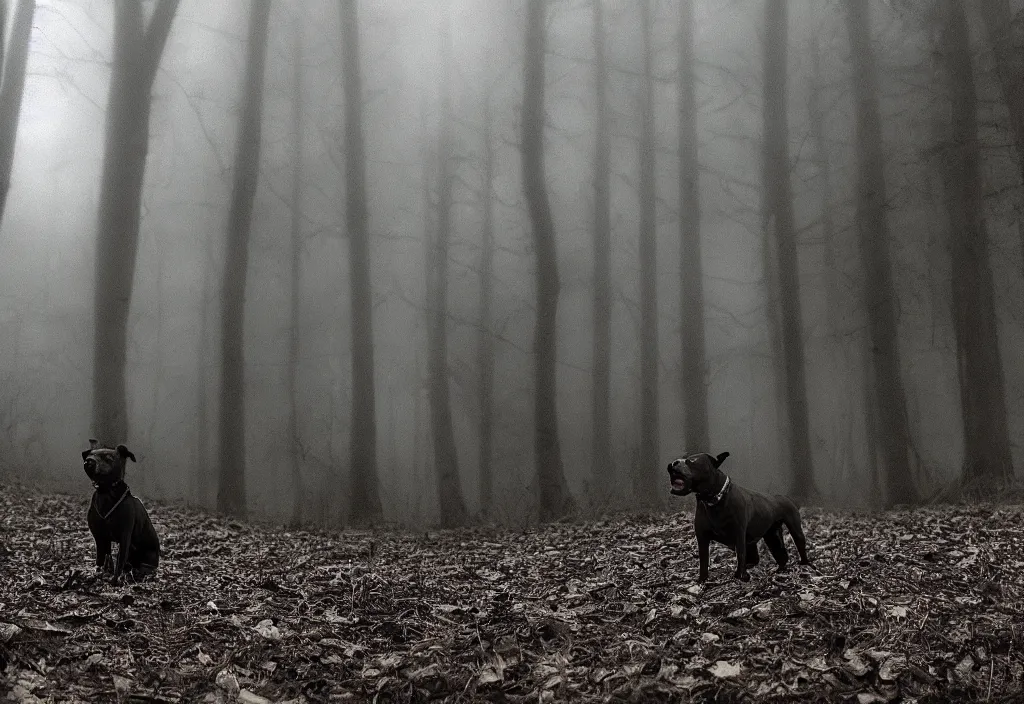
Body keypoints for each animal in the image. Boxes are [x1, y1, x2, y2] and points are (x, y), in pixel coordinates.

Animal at [81, 440, 158, 581]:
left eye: (108, 458)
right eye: (89, 455)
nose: (88, 461)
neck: (105, 492)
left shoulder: (124, 536)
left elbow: (119, 561)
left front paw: (115, 580)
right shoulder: (100, 536)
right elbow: (101, 558)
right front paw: (98, 573)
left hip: (147, 558)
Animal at [667, 450, 811, 581]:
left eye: (691, 461)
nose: (672, 463)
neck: (714, 499)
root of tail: (784, 497)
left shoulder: (739, 534)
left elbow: (741, 555)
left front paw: (741, 576)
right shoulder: (702, 538)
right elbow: (703, 562)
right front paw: (702, 580)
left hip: (795, 530)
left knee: (799, 548)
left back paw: (804, 565)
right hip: (772, 536)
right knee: (780, 555)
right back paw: (779, 570)